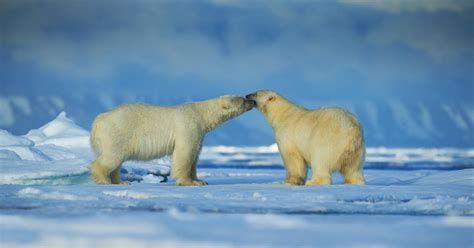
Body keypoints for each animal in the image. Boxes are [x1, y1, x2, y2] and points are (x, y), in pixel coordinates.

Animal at [90, 96, 258, 185]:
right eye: (243, 100)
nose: (252, 101)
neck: (200, 114)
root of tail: (99, 120)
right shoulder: (188, 127)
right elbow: (185, 154)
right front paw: (189, 182)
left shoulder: (200, 134)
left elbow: (195, 156)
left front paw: (200, 180)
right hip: (119, 132)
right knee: (112, 157)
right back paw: (104, 180)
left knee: (116, 161)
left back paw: (120, 181)